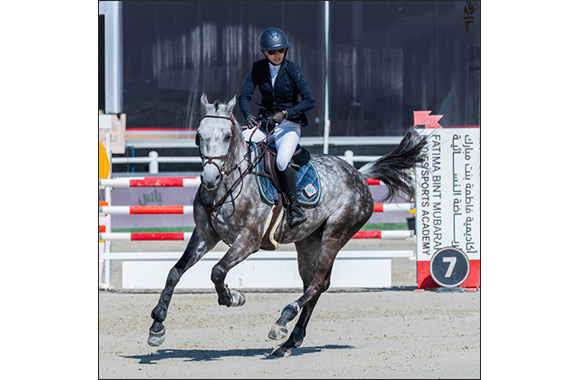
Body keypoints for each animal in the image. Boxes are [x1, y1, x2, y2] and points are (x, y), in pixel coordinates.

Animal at [146, 93, 426, 358]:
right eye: (198, 136)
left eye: (227, 136)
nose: (210, 178)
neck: (229, 184)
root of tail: (358, 174)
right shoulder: (205, 235)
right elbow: (175, 272)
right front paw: (157, 326)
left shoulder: (248, 240)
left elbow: (217, 271)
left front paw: (233, 297)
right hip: (308, 241)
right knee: (314, 284)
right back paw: (290, 341)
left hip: (335, 234)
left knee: (317, 284)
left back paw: (283, 320)